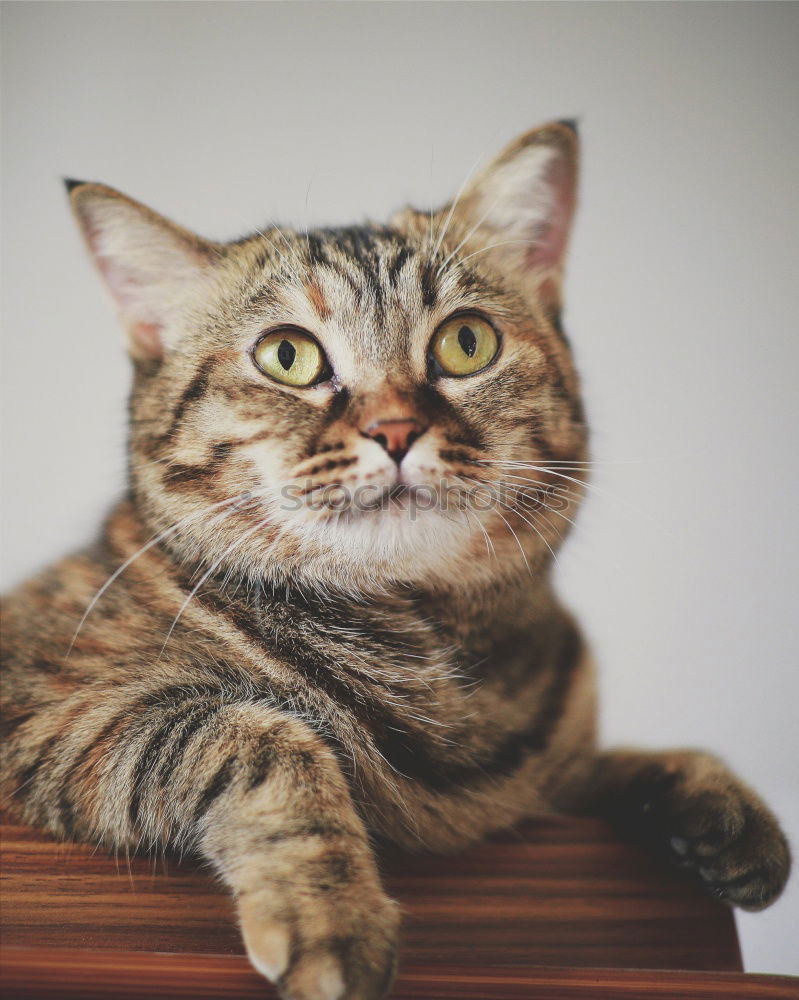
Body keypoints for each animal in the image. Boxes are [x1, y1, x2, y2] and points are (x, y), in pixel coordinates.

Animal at [0, 125, 788, 1000]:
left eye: (466, 341)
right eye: (286, 356)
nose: (395, 428)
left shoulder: (544, 780)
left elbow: (602, 763)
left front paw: (710, 794)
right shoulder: (57, 712)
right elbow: (255, 735)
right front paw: (330, 913)